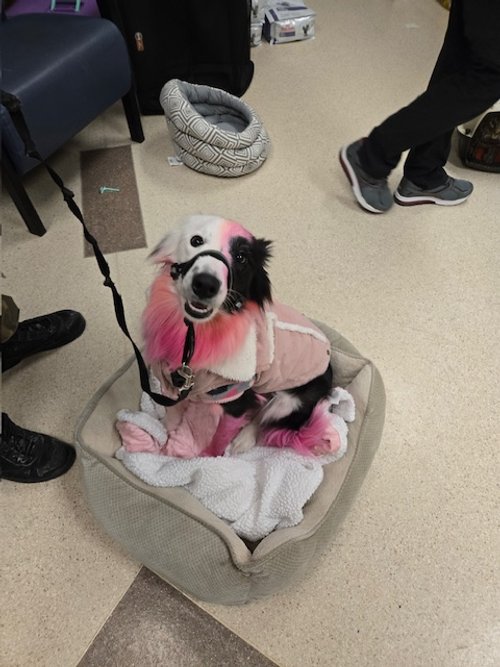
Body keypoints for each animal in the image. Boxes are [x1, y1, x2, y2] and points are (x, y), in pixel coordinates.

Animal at [142, 214, 336, 457]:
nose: (205, 284)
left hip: (291, 400)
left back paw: (244, 439)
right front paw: (166, 441)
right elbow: (173, 416)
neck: (194, 333)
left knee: (263, 414)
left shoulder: (236, 399)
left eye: (241, 257)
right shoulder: (172, 383)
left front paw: (208, 458)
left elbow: (220, 437)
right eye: (196, 241)